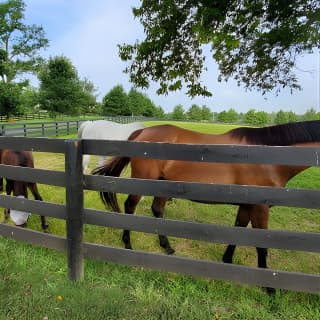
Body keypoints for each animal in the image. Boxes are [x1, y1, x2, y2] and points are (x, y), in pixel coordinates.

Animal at [93, 120, 320, 292]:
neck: (270, 157)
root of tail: (142, 132)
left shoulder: (247, 205)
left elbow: (239, 231)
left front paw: (227, 260)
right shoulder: (259, 207)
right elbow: (261, 244)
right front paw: (269, 287)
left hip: (162, 184)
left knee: (157, 210)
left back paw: (167, 247)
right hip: (143, 182)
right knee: (130, 207)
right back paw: (128, 245)